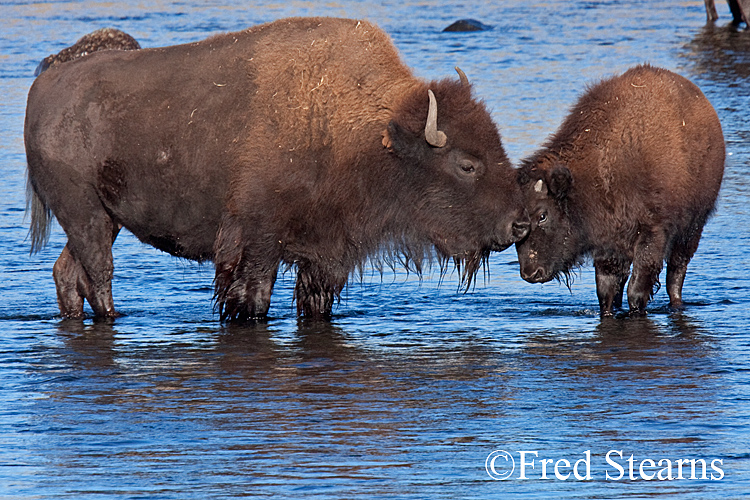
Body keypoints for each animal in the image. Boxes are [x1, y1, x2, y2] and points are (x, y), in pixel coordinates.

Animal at [26, 16, 532, 320]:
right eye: (467, 165)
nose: (520, 224)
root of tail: (46, 84)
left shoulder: (326, 256)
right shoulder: (255, 245)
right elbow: (250, 302)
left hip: (105, 219)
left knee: (68, 272)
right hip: (86, 215)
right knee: (99, 275)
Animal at [520, 63, 724, 316]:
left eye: (543, 215)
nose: (530, 273)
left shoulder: (652, 233)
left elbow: (637, 288)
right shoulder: (609, 244)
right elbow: (606, 290)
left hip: (692, 228)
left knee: (676, 273)